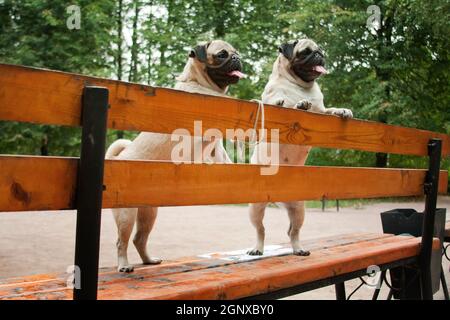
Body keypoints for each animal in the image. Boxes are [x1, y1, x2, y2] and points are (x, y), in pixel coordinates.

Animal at [105, 38, 244, 272]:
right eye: (222, 54)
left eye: (236, 53)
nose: (237, 58)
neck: (200, 84)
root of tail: (118, 158)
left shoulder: (214, 142)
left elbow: (221, 154)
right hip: (126, 214)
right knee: (121, 241)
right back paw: (124, 265)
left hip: (149, 213)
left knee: (139, 239)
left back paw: (148, 260)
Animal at [248, 38, 354, 256]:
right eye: (305, 52)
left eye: (320, 50)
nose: (320, 55)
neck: (300, 86)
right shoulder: (272, 102)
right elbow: (282, 102)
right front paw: (296, 104)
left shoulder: (321, 111)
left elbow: (330, 110)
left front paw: (342, 110)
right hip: (256, 207)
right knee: (261, 230)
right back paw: (257, 248)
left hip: (298, 209)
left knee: (293, 231)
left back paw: (299, 249)